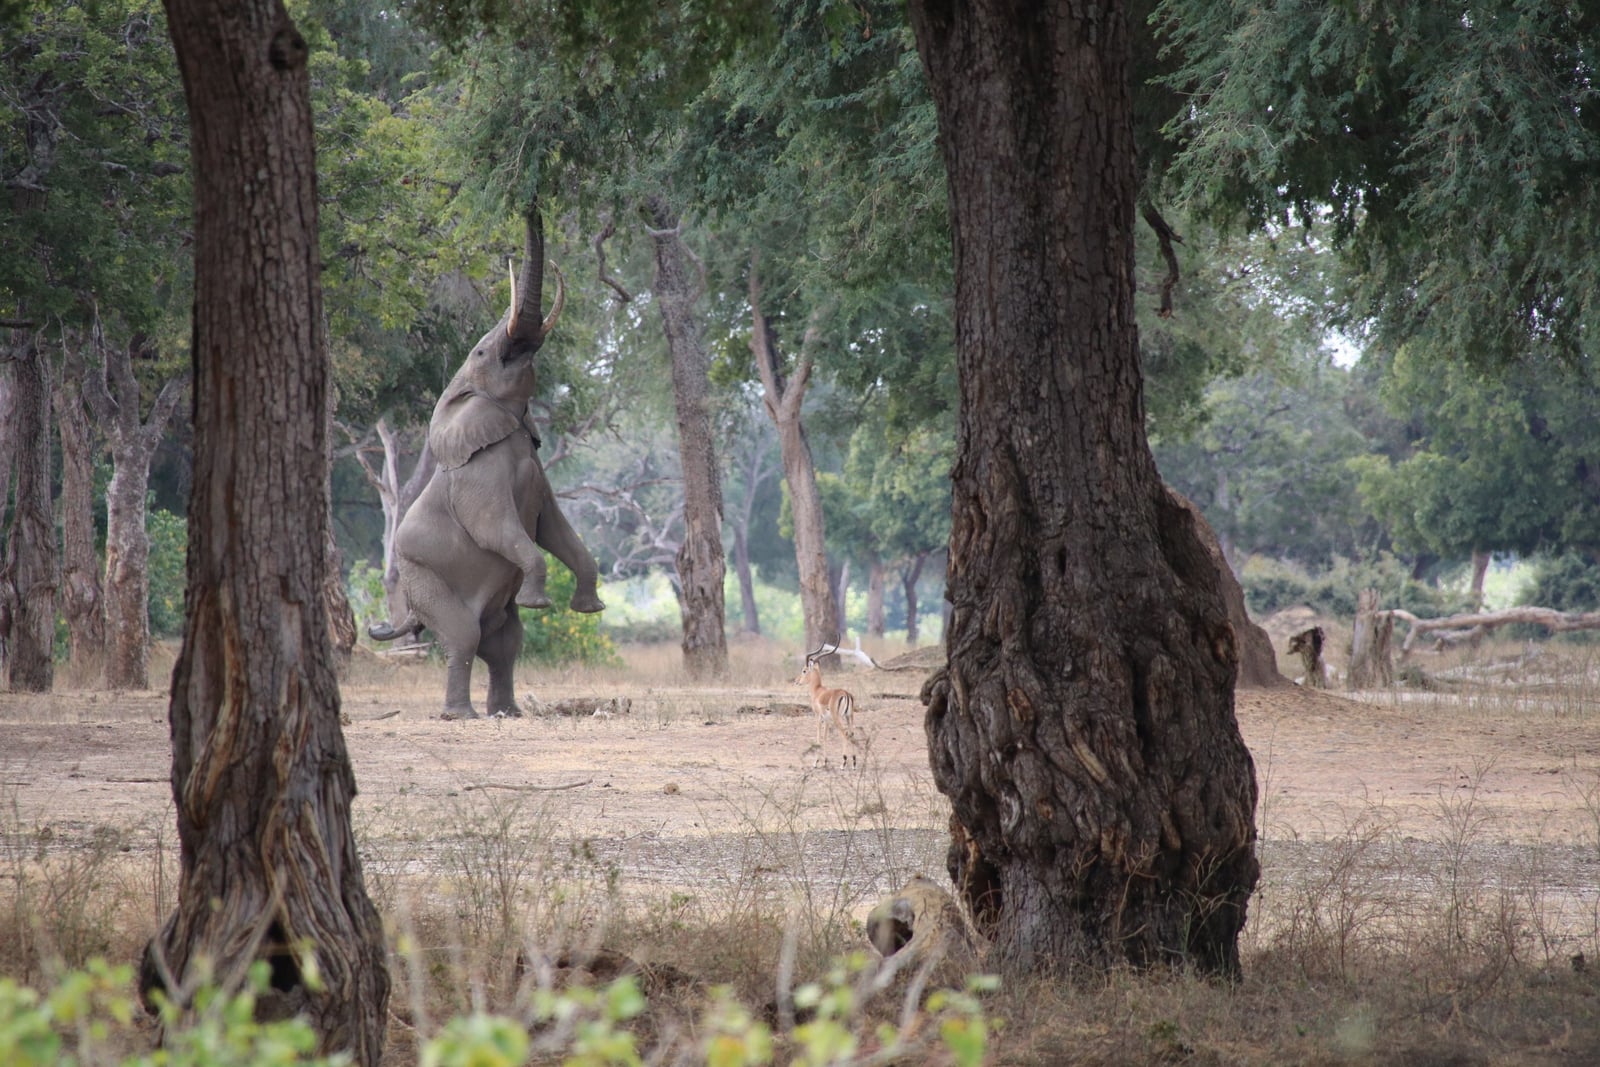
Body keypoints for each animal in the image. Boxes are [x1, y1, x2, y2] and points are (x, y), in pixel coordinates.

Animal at [370, 209, 603, 719]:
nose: (530, 205)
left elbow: (555, 528)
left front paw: (590, 609)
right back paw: (460, 716)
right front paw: (541, 603)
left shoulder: (539, 472)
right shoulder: (477, 479)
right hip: (424, 578)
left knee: (504, 643)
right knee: (464, 636)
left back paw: (507, 712)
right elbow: (497, 528)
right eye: (480, 352)